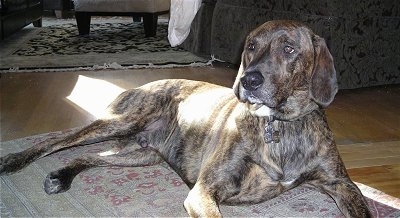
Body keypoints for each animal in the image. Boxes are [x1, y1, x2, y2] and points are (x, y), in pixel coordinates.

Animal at [0, 20, 370, 216]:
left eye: (289, 49)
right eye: (251, 46)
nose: (248, 80)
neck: (280, 126)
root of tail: (142, 85)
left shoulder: (341, 184)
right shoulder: (204, 192)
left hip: (142, 154)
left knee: (92, 156)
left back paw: (61, 175)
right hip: (121, 121)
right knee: (57, 140)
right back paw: (14, 160)